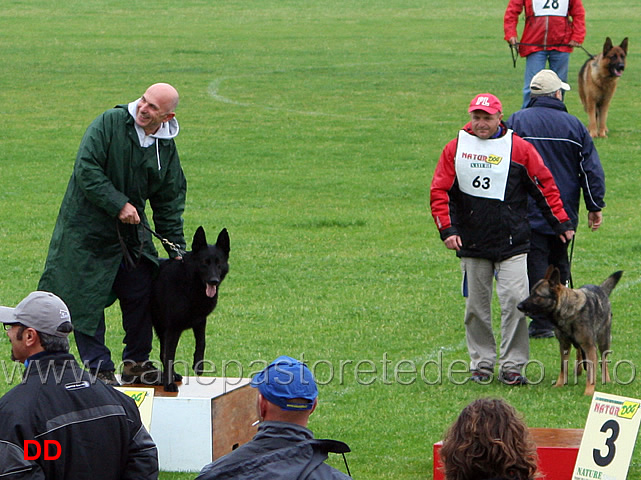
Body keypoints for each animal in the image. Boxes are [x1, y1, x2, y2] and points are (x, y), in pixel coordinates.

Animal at [150, 228, 230, 390]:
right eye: (205, 263)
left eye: (219, 263)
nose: (214, 281)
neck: (190, 284)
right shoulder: (173, 329)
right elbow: (169, 356)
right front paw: (169, 385)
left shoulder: (200, 321)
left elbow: (201, 342)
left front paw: (198, 366)